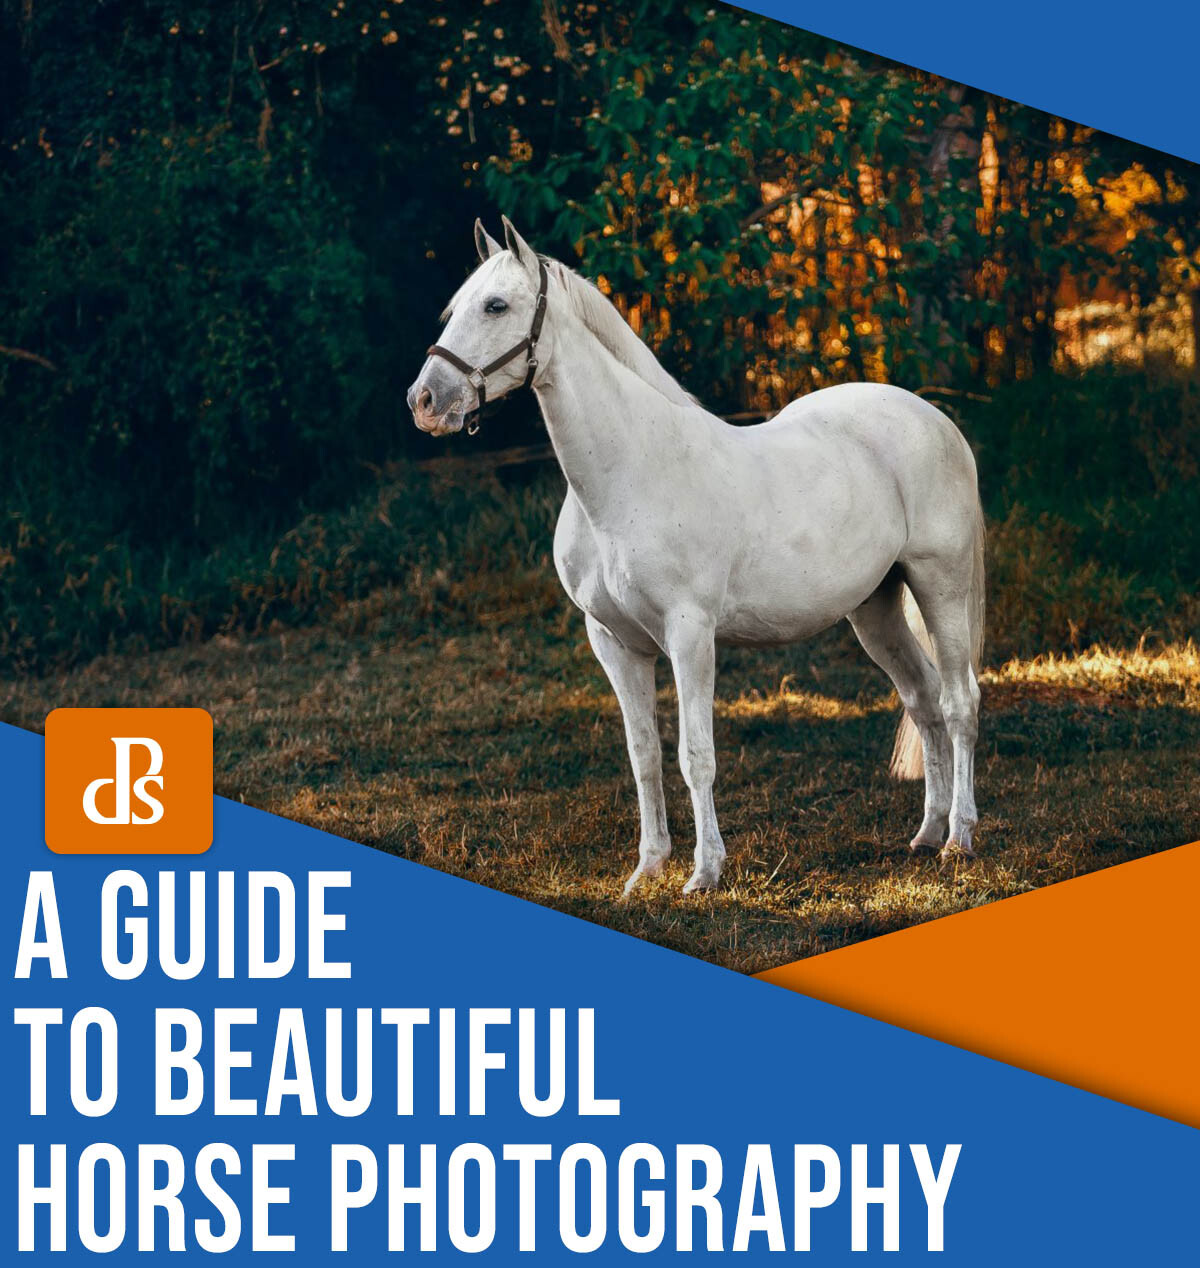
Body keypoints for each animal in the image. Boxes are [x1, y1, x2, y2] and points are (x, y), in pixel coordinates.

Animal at [408, 217, 984, 896]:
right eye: (455, 308)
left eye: (496, 305)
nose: (424, 401)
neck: (630, 473)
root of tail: (935, 420)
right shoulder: (614, 642)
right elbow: (644, 756)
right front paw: (647, 869)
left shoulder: (689, 634)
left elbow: (695, 755)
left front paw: (704, 872)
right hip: (875, 609)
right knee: (922, 700)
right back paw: (926, 833)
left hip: (939, 585)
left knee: (959, 702)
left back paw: (959, 838)